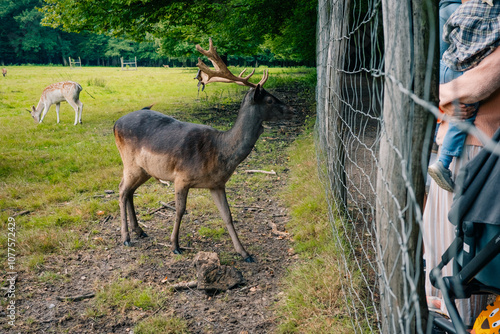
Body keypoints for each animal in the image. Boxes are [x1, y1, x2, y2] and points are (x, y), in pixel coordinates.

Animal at [113, 39, 292, 262]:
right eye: (269, 100)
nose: (291, 109)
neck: (220, 152)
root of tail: (115, 124)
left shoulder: (217, 184)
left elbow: (228, 215)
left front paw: (244, 253)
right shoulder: (181, 177)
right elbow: (180, 210)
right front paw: (175, 245)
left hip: (145, 169)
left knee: (130, 191)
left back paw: (139, 231)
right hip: (129, 162)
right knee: (121, 189)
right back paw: (126, 237)